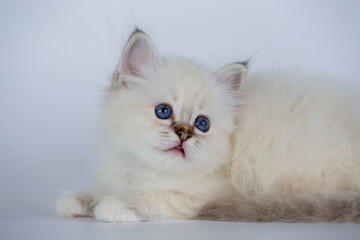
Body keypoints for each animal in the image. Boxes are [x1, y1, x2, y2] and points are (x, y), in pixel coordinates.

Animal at [56, 28, 360, 223]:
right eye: (163, 111)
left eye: (202, 124)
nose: (184, 134)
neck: (140, 170)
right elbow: (101, 189)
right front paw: (79, 201)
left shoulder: (202, 195)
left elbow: (152, 197)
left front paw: (112, 206)